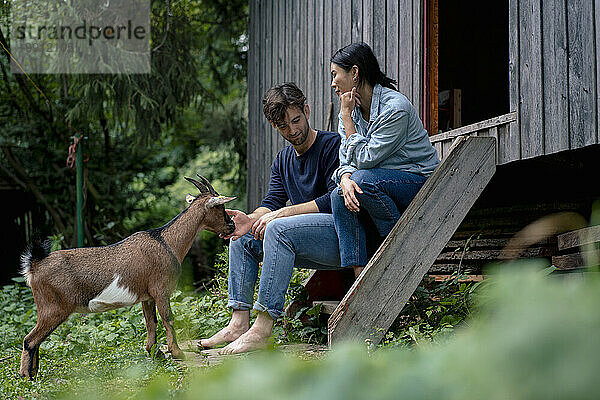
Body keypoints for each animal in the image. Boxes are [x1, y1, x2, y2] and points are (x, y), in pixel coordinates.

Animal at [19, 174, 234, 378]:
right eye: (221, 207)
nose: (231, 226)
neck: (167, 242)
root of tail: (34, 265)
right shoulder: (161, 290)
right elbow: (168, 318)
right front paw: (177, 353)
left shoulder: (147, 296)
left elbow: (151, 322)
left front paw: (155, 353)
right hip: (53, 308)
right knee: (30, 340)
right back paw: (27, 377)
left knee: (34, 341)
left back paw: (33, 373)